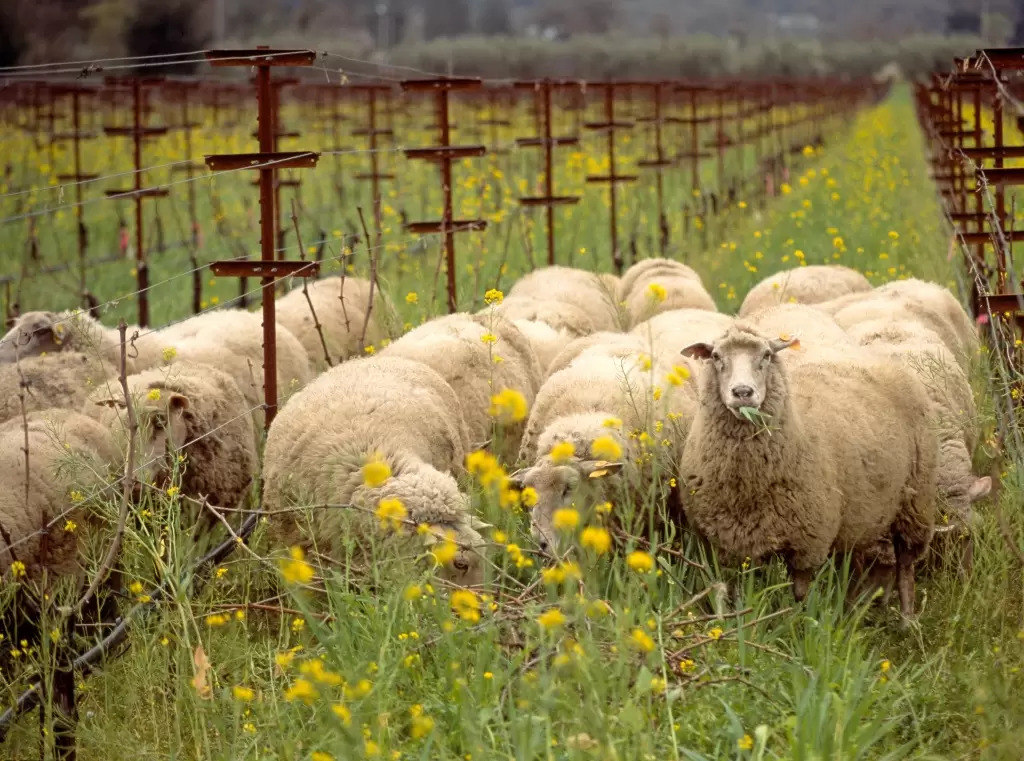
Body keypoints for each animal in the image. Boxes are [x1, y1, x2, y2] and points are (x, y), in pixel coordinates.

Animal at [679, 321, 937, 618]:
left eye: (767, 355)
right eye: (716, 356)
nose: (743, 392)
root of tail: (885, 360)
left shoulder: (808, 545)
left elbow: (799, 597)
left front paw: (797, 623)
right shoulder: (724, 546)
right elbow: (730, 595)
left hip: (916, 502)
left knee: (906, 566)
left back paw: (907, 620)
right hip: (863, 514)